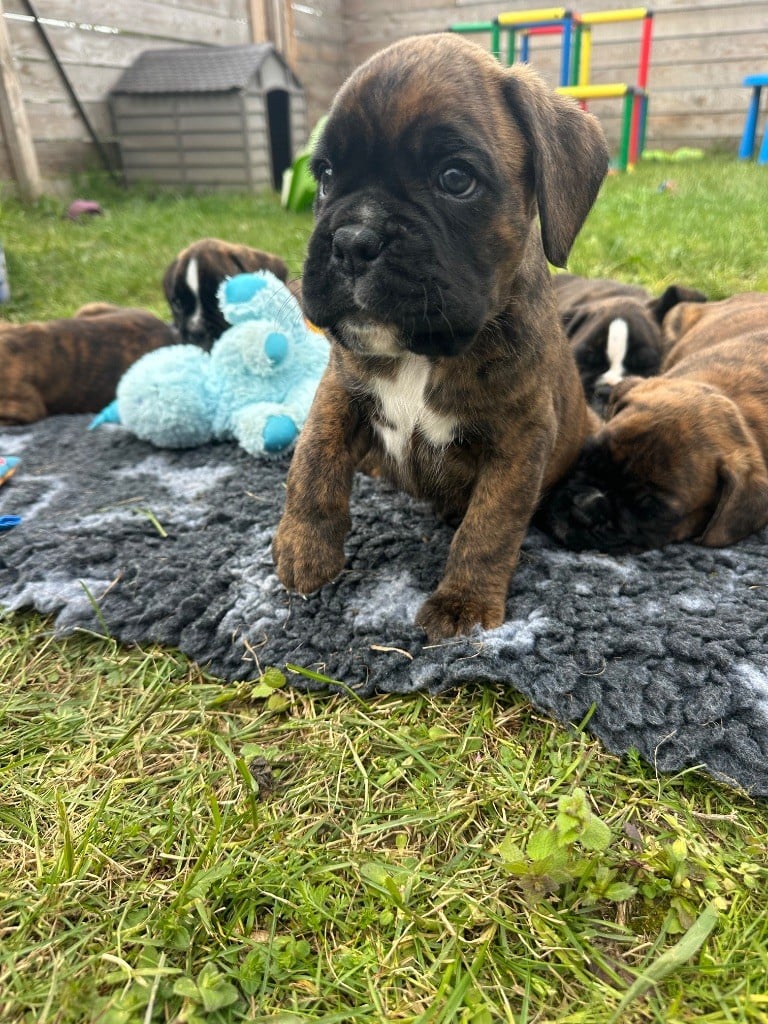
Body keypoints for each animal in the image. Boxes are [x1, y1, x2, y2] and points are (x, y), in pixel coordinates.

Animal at [272, 33, 609, 641]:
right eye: (326, 175)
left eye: (456, 178)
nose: (353, 240)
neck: (421, 354)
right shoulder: (339, 389)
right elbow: (312, 460)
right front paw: (303, 547)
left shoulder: (520, 441)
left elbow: (489, 527)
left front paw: (464, 602)